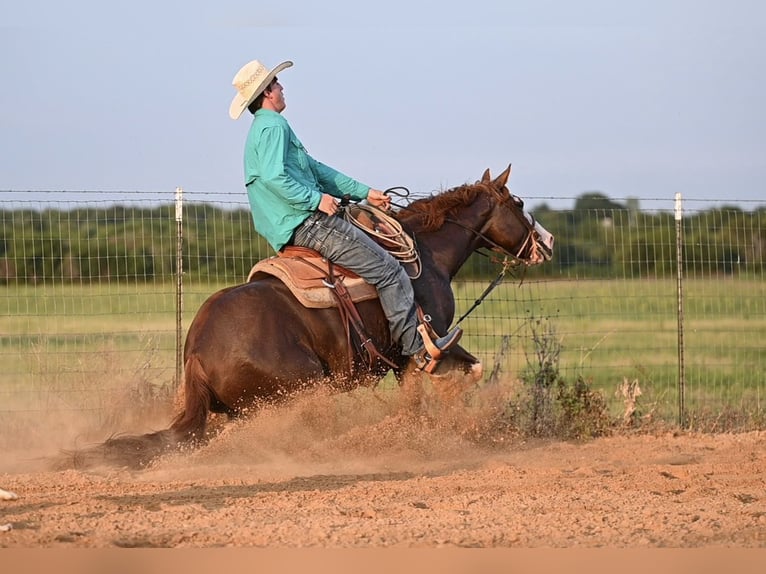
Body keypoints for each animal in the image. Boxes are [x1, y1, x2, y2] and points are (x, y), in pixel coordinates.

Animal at [79, 164, 552, 470]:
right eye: (518, 202)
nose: (546, 243)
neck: (426, 254)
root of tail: (196, 352)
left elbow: (471, 372)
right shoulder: (417, 351)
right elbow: (433, 391)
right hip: (305, 388)